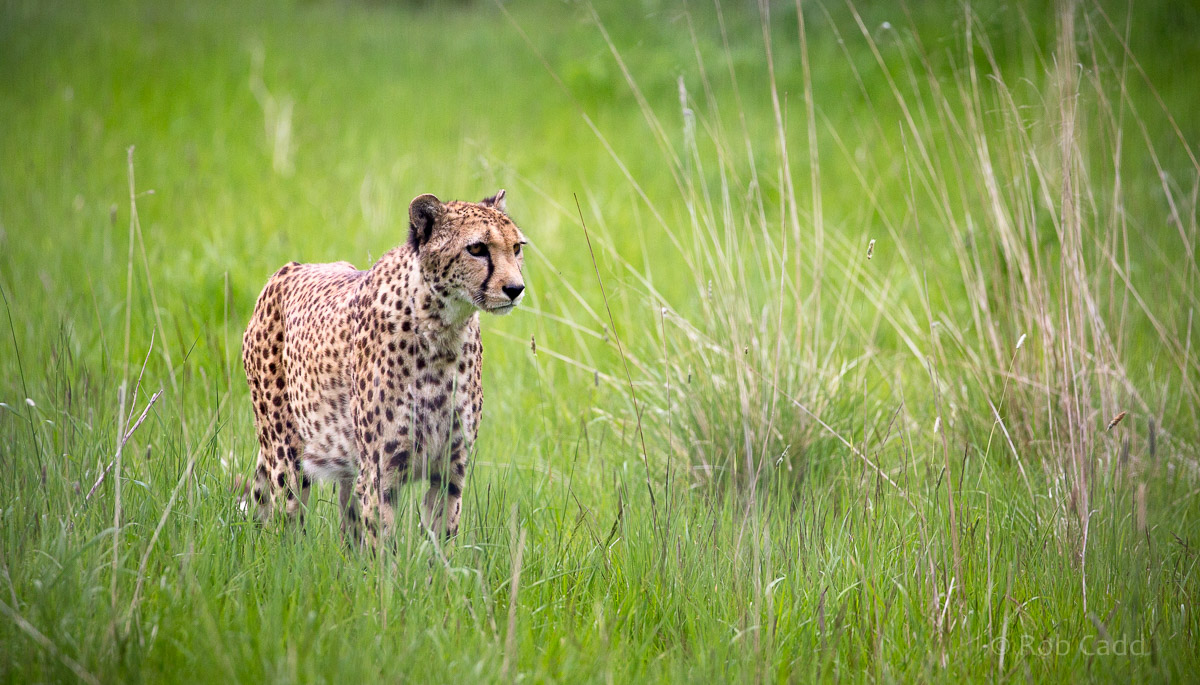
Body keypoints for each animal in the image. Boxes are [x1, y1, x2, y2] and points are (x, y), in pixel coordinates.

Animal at [241, 190, 526, 547]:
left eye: (516, 247)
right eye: (476, 248)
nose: (515, 289)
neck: (443, 328)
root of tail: (287, 270)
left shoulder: (450, 469)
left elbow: (439, 542)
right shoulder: (379, 472)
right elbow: (382, 547)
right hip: (286, 456)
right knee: (287, 527)